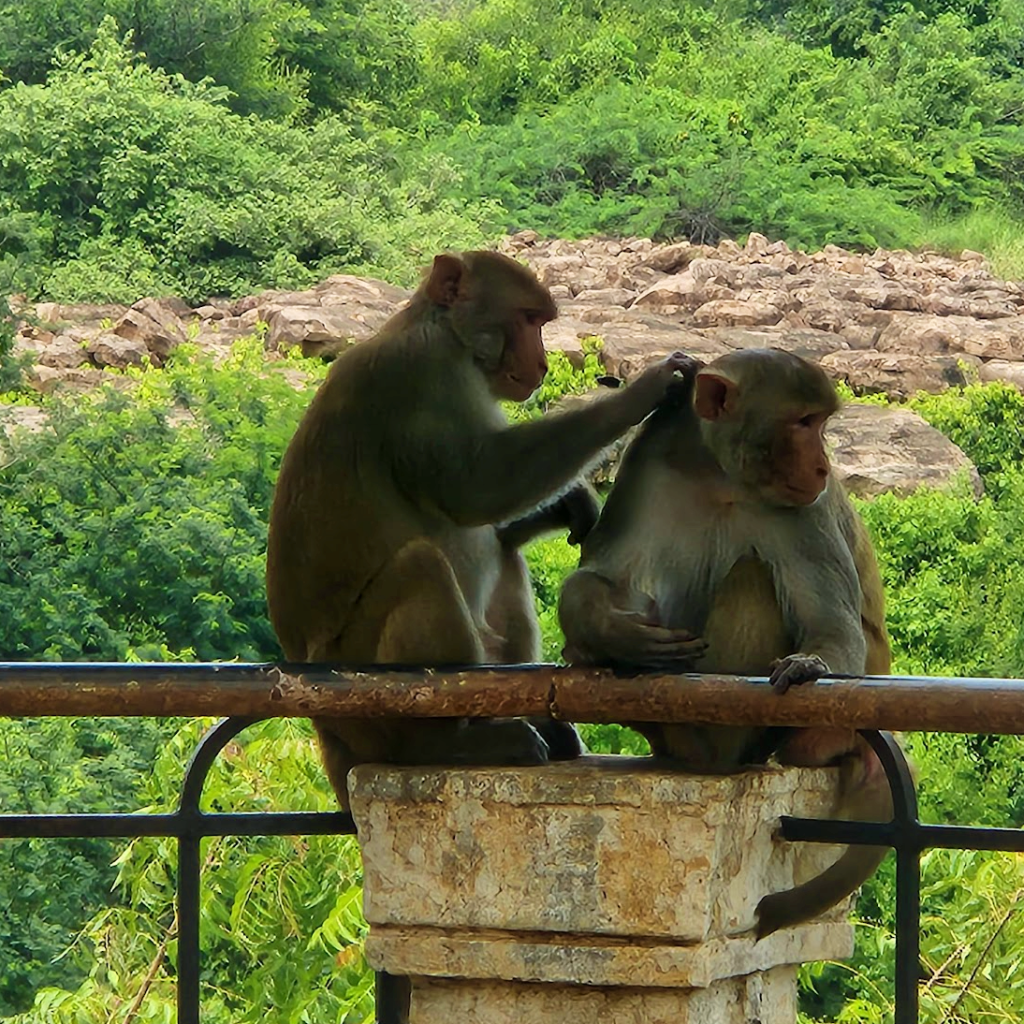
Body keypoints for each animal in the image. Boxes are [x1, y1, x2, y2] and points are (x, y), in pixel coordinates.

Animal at [266, 249, 693, 811]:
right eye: (529, 319)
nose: (542, 363)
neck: (444, 334)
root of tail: (323, 722)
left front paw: (571, 504)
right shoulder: (424, 380)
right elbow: (476, 488)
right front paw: (646, 389)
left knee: (503, 555)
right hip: (357, 689)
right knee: (423, 565)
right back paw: (441, 743)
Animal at [558, 347, 895, 940]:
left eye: (819, 423)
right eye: (804, 422)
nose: (823, 467)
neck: (723, 474)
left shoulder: (806, 508)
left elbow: (831, 624)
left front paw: (809, 667)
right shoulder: (650, 461)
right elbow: (605, 571)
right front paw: (608, 628)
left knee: (752, 578)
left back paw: (729, 746)